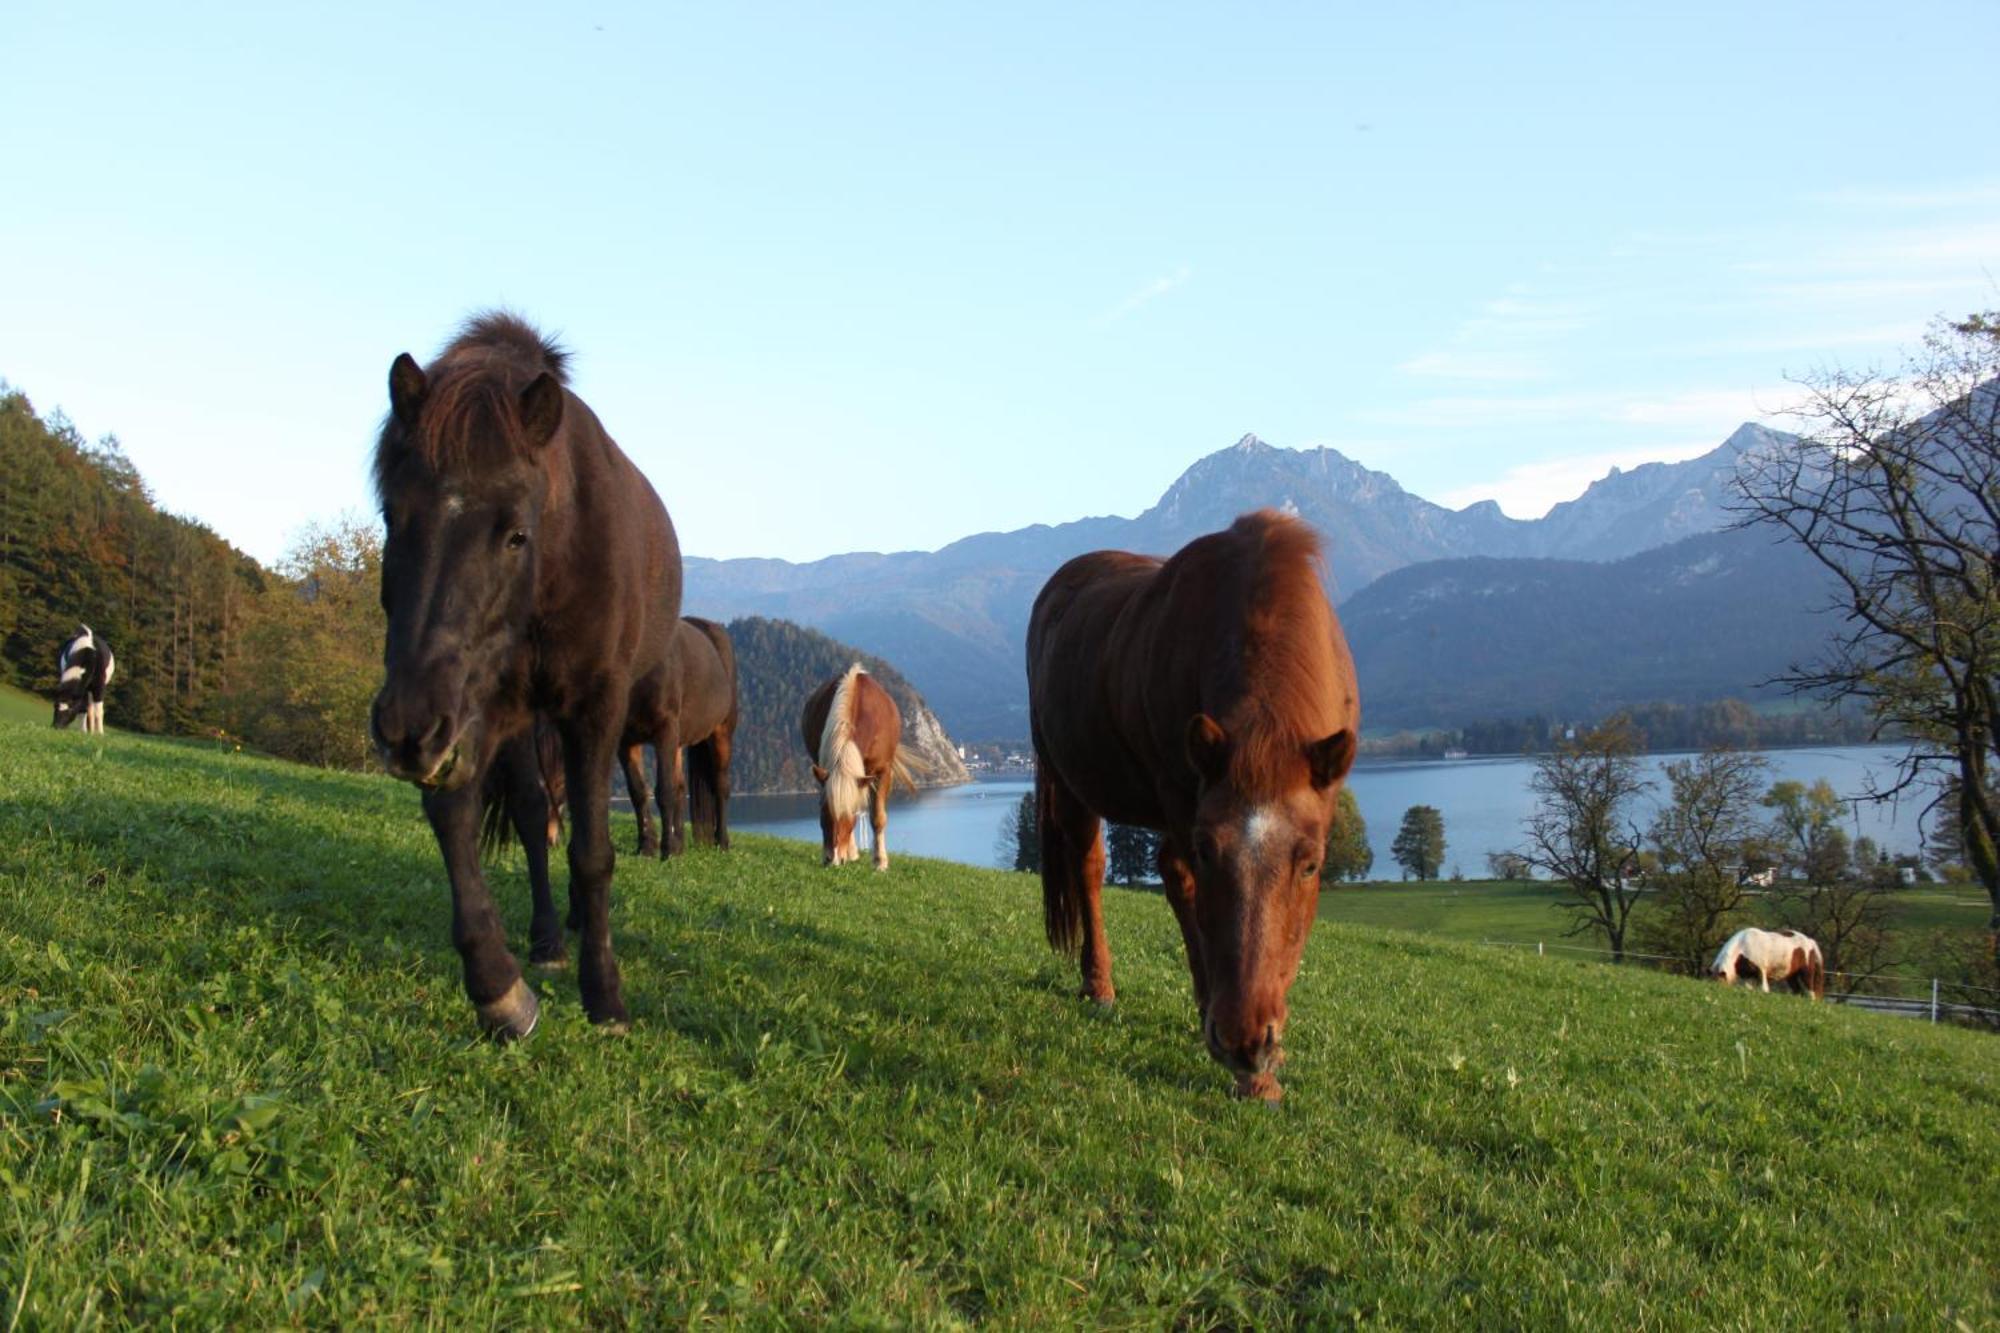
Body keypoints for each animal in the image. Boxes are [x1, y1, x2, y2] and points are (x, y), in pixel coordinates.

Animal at [372, 312, 684, 1040]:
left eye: (516, 533)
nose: (404, 729)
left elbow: (594, 851)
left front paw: (605, 996)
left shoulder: (595, 704)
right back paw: (548, 937)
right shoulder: (474, 707)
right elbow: (457, 816)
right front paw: (498, 985)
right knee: (537, 810)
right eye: (392, 517)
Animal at [804, 660, 916, 868]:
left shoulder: (882, 771)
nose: (833, 859)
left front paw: (880, 861)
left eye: (850, 816)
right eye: (823, 812)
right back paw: (851, 852)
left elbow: (878, 817)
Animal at [1032, 504, 1360, 1096]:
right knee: (1090, 867)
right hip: (1068, 781)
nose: (1247, 1042)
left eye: (1311, 865)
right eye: (1211, 853)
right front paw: (1252, 1075)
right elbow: (1186, 886)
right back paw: (1100, 983)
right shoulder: (1183, 802)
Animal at [1704, 924, 1832, 996]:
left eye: (1720, 981)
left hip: (1806, 973)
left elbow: (1764, 989)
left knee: (1811, 992)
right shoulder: (1748, 976)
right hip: (1791, 976)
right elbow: (1749, 988)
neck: (1743, 947)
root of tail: (1810, 941)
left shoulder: (1761, 971)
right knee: (1798, 991)